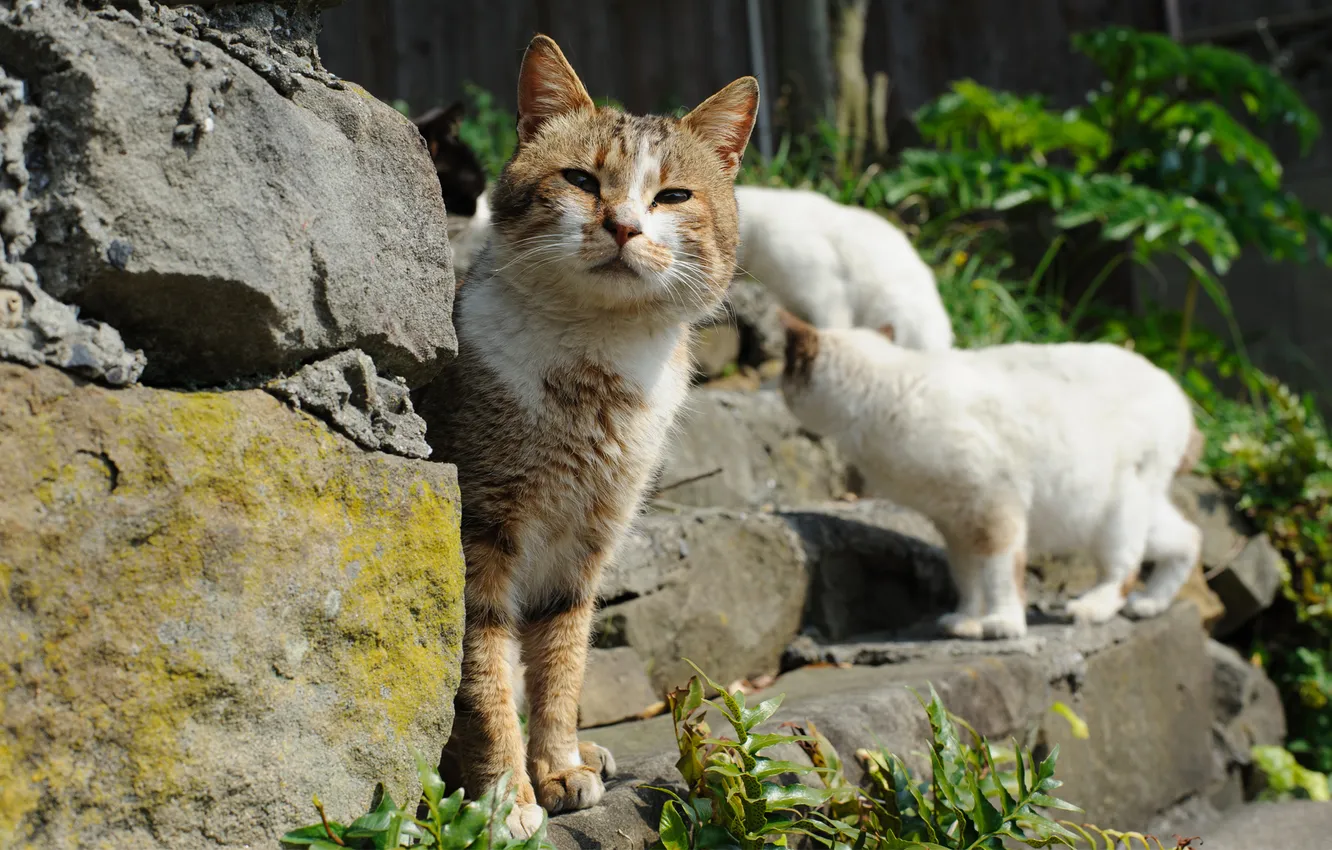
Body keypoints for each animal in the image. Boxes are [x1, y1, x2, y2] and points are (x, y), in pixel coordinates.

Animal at [777, 313, 1209, 639]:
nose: (775, 386)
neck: (884, 391)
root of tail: (1174, 387)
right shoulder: (954, 522)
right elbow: (967, 576)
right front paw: (967, 620)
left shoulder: (995, 509)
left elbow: (1000, 574)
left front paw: (1001, 623)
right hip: (1107, 511)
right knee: (1188, 537)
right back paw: (1151, 603)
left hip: (1112, 514)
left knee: (1124, 568)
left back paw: (1092, 606)